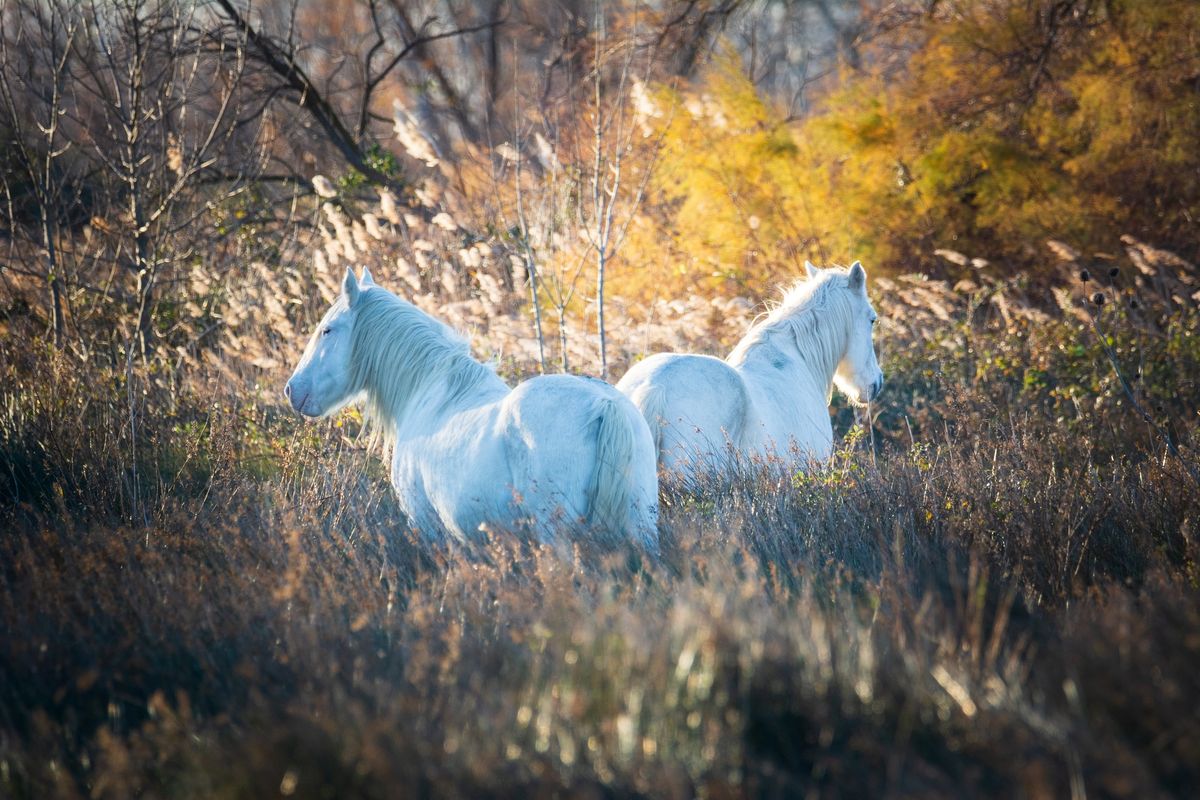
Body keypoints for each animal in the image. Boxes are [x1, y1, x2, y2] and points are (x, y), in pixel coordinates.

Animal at [283, 268, 657, 551]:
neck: (432, 390)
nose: (293, 389)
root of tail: (604, 404)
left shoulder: (429, 527)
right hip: (642, 528)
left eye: (327, 330)